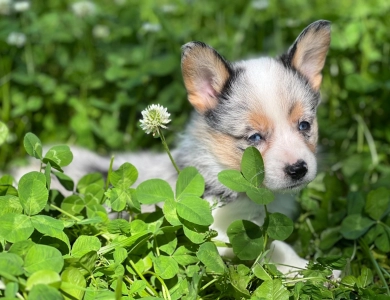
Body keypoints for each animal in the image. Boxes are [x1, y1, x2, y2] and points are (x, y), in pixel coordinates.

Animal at [12, 19, 330, 274]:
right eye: (254, 138)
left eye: (304, 125)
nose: (298, 169)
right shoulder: (220, 231)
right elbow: (273, 246)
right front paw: (309, 268)